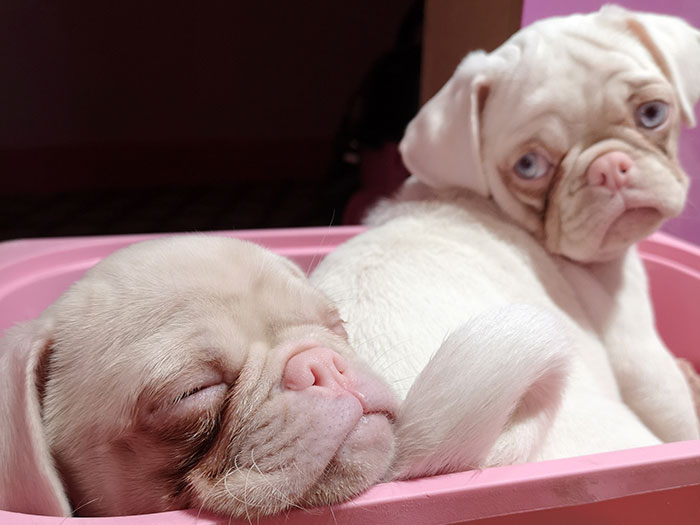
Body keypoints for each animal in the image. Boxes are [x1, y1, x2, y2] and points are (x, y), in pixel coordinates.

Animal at [312, 4, 700, 474]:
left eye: (653, 113)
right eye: (529, 166)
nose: (610, 167)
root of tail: (397, 451)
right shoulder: (642, 356)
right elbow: (680, 415)